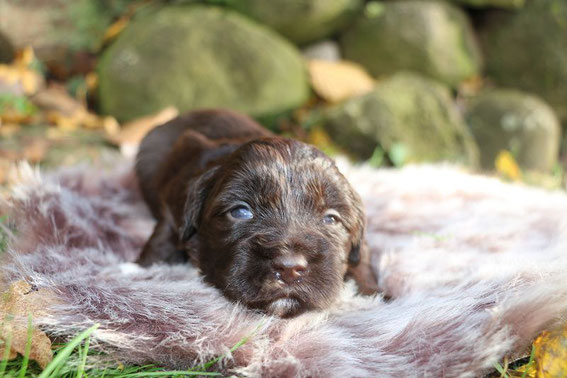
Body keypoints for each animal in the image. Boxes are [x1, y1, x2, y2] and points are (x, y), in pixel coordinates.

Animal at [135, 108, 380, 316]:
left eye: (331, 218)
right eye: (240, 211)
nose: (290, 269)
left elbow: (362, 258)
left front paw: (373, 291)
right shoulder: (174, 198)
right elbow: (163, 239)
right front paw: (142, 269)